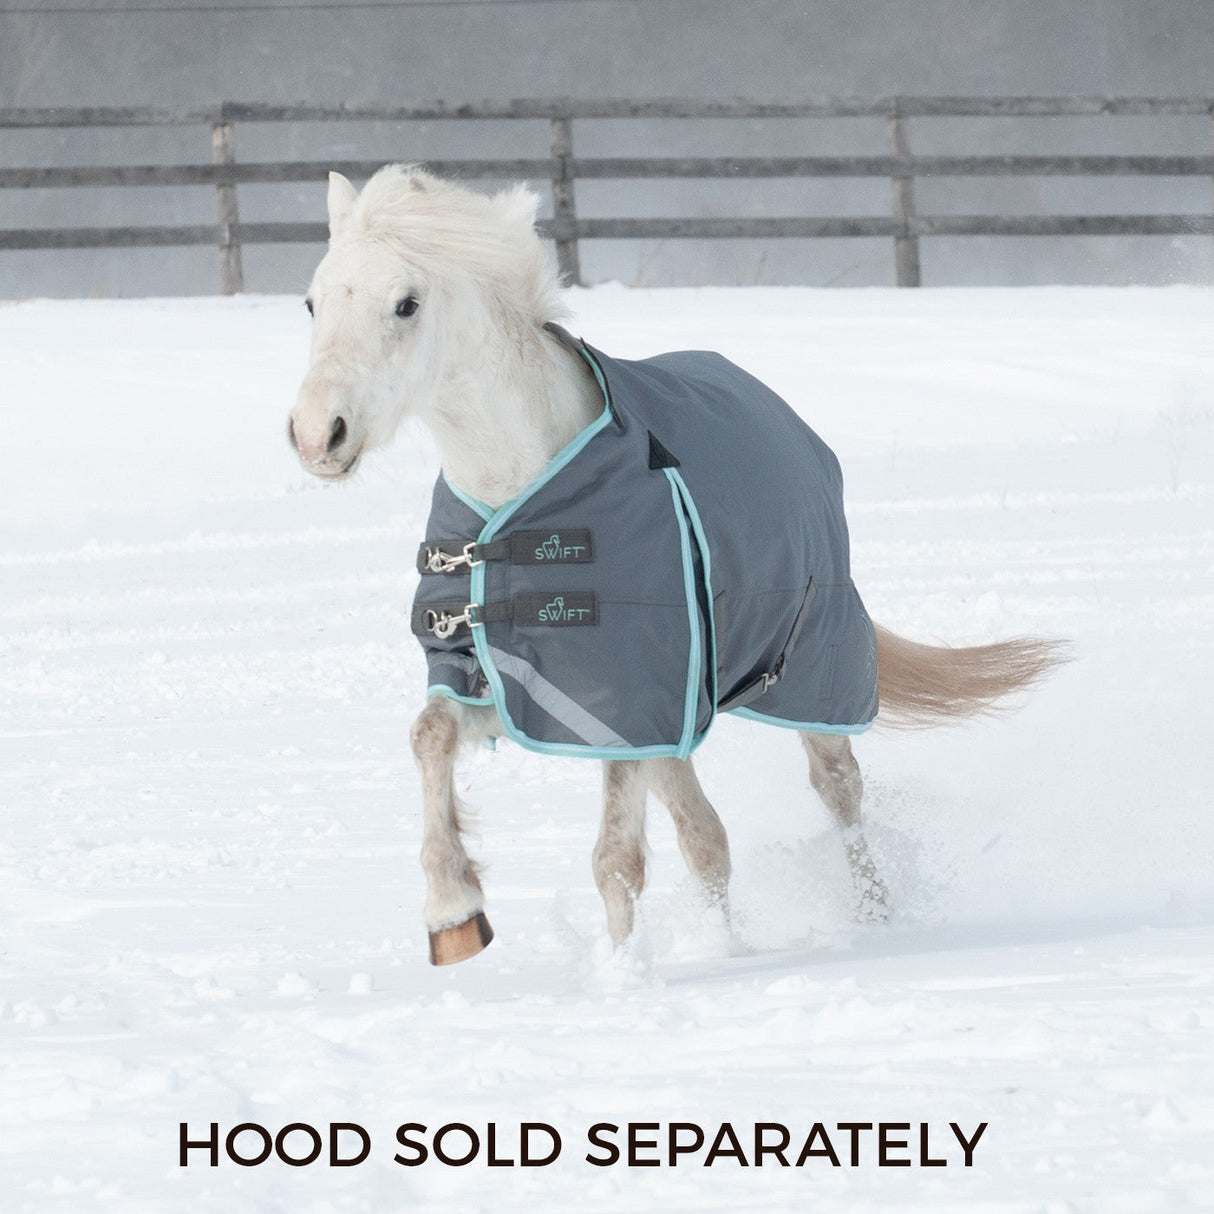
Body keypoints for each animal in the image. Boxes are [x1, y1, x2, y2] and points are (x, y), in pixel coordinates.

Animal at [288, 164, 1065, 966]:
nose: (317, 435)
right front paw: (454, 911)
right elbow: (431, 736)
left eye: (405, 303)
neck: (521, 489)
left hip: (811, 672)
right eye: (313, 301)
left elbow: (615, 861)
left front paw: (627, 973)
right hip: (682, 706)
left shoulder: (628, 696)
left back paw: (872, 918)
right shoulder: (522, 684)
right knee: (705, 835)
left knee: (838, 792)